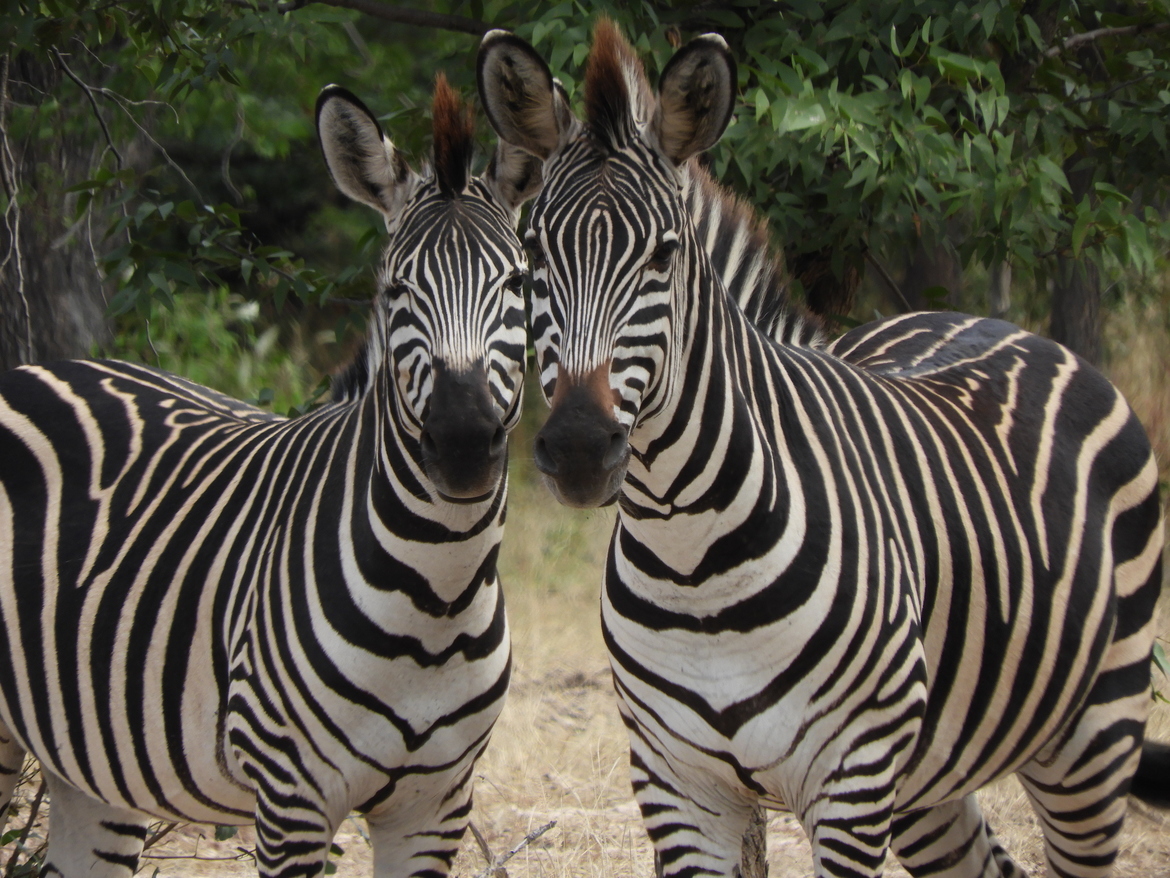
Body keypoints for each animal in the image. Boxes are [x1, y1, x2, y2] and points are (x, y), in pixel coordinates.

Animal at [0, 75, 540, 878]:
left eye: (516, 282)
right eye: (396, 292)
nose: (465, 442)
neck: (437, 597)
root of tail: (34, 370)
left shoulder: (437, 804)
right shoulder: (291, 799)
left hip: (89, 766)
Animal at [478, 22, 1167, 878]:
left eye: (664, 255)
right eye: (534, 256)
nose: (577, 447)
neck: (694, 558)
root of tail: (1003, 327)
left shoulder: (853, 779)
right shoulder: (677, 785)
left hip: (1093, 733)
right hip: (931, 782)